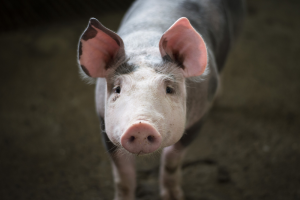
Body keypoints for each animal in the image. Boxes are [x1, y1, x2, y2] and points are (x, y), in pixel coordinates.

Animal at [78, 0, 246, 199]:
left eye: (169, 89)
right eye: (117, 89)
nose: (140, 126)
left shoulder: (198, 118)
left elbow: (172, 161)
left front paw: (174, 196)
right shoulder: (104, 121)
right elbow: (123, 174)